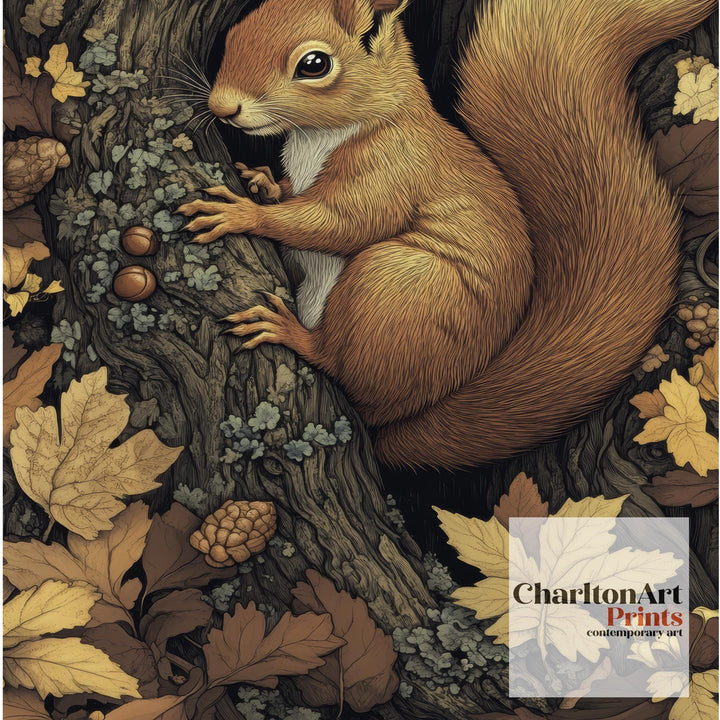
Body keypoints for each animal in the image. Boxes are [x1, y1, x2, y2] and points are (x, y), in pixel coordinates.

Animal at [177, 0, 715, 470]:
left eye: (314, 64)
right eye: (234, 34)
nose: (221, 107)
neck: (322, 137)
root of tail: (407, 414)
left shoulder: (393, 168)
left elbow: (340, 223)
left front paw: (243, 213)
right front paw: (264, 183)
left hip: (394, 285)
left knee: (343, 367)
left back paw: (291, 332)